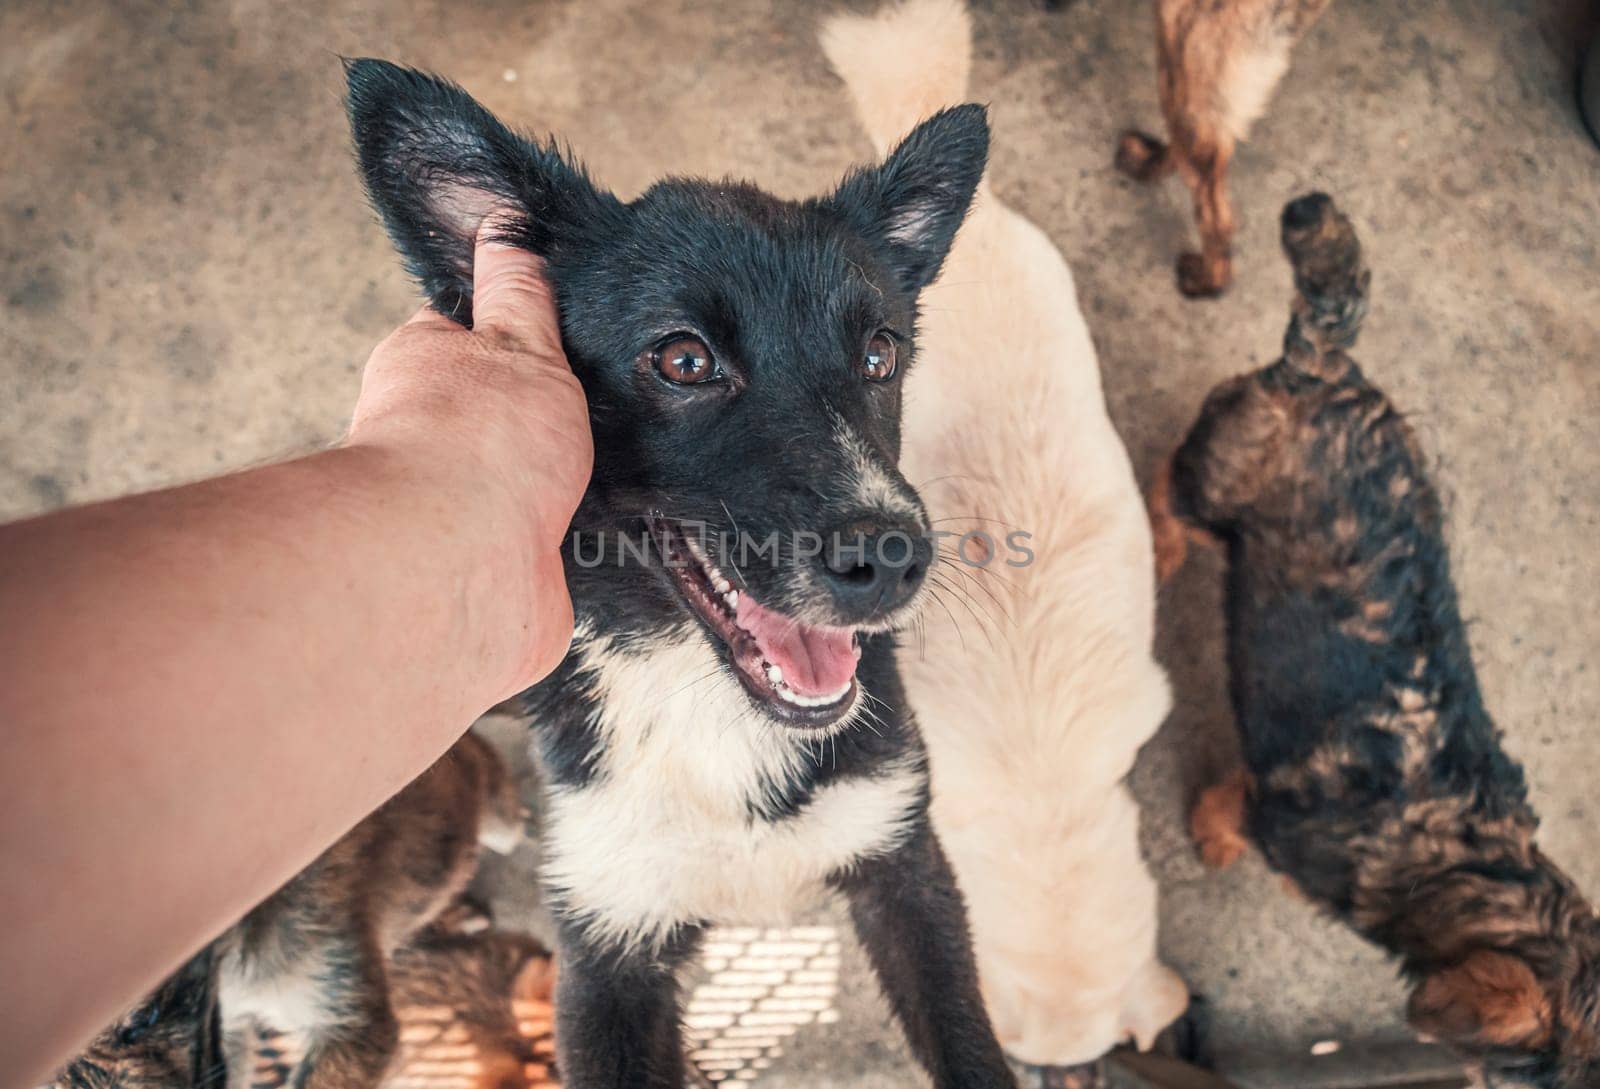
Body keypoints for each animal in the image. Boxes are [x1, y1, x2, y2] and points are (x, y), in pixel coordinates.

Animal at [347, 59, 1011, 1087]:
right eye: (685, 360)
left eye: (880, 352)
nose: (896, 557)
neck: (703, 701)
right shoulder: (603, 952)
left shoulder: (906, 864)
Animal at [1152, 191, 1600, 1081]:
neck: (1466, 859)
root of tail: (1327, 369)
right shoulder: (1263, 807)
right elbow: (1224, 812)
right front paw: (1210, 844)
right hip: (1215, 479)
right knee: (1168, 493)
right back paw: (1160, 550)